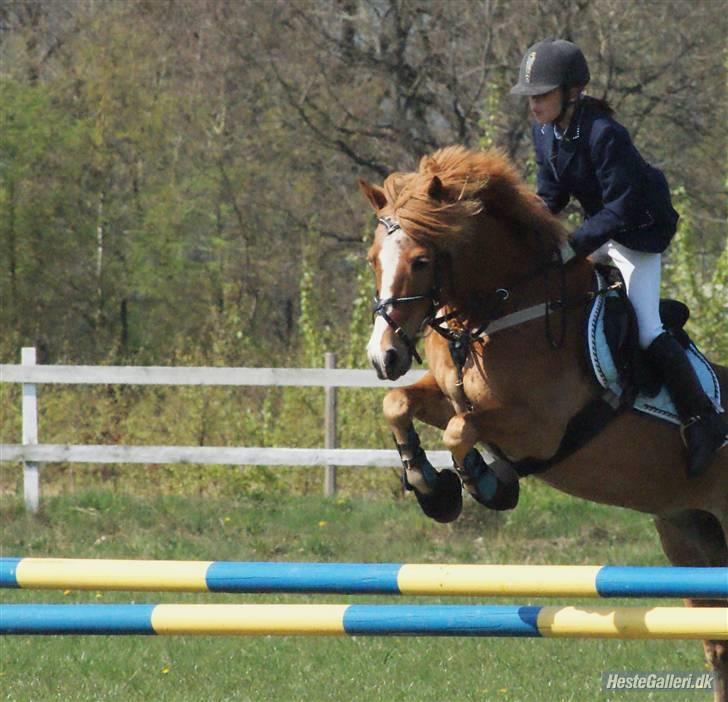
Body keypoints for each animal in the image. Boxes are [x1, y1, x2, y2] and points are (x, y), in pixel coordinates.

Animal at [358, 146, 728, 700]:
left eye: (421, 261)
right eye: (373, 259)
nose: (384, 357)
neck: (499, 313)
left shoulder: (540, 426)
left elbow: (461, 430)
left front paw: (486, 484)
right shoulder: (449, 395)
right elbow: (400, 405)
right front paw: (433, 488)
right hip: (689, 534)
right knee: (716, 642)